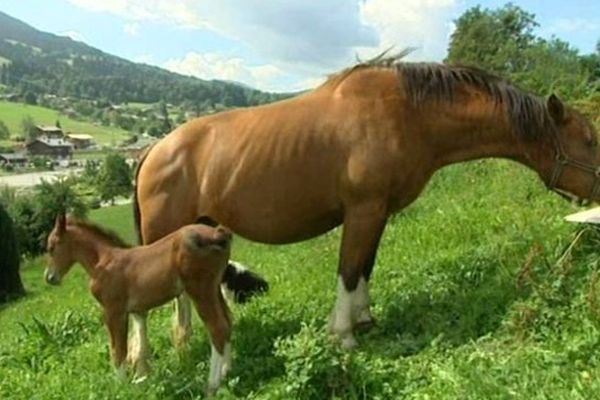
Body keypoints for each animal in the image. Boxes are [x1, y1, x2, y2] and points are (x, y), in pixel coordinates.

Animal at [44, 216, 232, 394]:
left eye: (51, 247)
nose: (50, 278)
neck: (103, 261)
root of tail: (217, 233)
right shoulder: (138, 311)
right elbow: (139, 345)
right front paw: (141, 379)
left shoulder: (113, 312)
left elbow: (118, 350)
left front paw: (121, 386)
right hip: (214, 288)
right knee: (227, 322)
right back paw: (225, 372)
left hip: (200, 290)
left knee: (217, 328)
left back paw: (212, 385)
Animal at [134, 54, 600, 348]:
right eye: (590, 139)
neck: (407, 114)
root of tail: (153, 150)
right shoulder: (363, 210)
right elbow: (348, 270)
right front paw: (344, 334)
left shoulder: (379, 213)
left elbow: (364, 269)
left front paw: (364, 319)